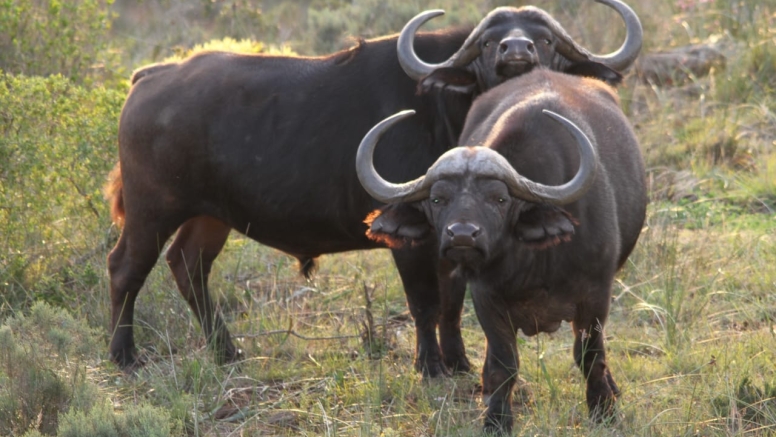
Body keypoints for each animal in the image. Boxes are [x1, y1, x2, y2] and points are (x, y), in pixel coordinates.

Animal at [104, 1, 644, 372]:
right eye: (491, 42)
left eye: (545, 40)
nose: (518, 51)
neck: (444, 110)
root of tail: (151, 76)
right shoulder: (413, 238)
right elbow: (425, 303)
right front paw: (431, 367)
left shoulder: (458, 238)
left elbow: (452, 302)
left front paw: (459, 362)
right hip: (153, 209)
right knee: (126, 267)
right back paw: (124, 355)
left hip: (209, 215)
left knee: (188, 266)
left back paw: (227, 351)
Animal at [354, 67, 644, 430]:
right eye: (437, 199)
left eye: (500, 199)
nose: (462, 235)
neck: (533, 262)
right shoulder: (486, 297)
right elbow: (504, 361)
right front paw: (496, 418)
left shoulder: (596, 293)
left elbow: (590, 355)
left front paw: (603, 409)